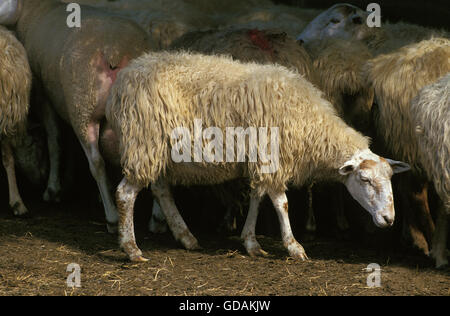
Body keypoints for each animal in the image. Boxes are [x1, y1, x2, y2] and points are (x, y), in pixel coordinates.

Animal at [0, 0, 155, 232]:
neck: (34, 10)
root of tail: (118, 50)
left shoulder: (45, 96)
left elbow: (54, 141)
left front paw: (53, 189)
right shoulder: (63, 102)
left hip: (83, 108)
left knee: (96, 162)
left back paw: (111, 217)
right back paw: (158, 220)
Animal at [106, 51, 412, 262]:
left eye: (390, 179)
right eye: (364, 180)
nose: (389, 219)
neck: (311, 124)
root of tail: (124, 79)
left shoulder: (261, 159)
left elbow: (257, 196)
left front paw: (251, 242)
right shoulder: (273, 155)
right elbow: (281, 203)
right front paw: (294, 246)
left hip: (157, 150)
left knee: (160, 189)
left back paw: (186, 237)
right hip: (143, 142)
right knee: (125, 194)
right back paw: (132, 249)